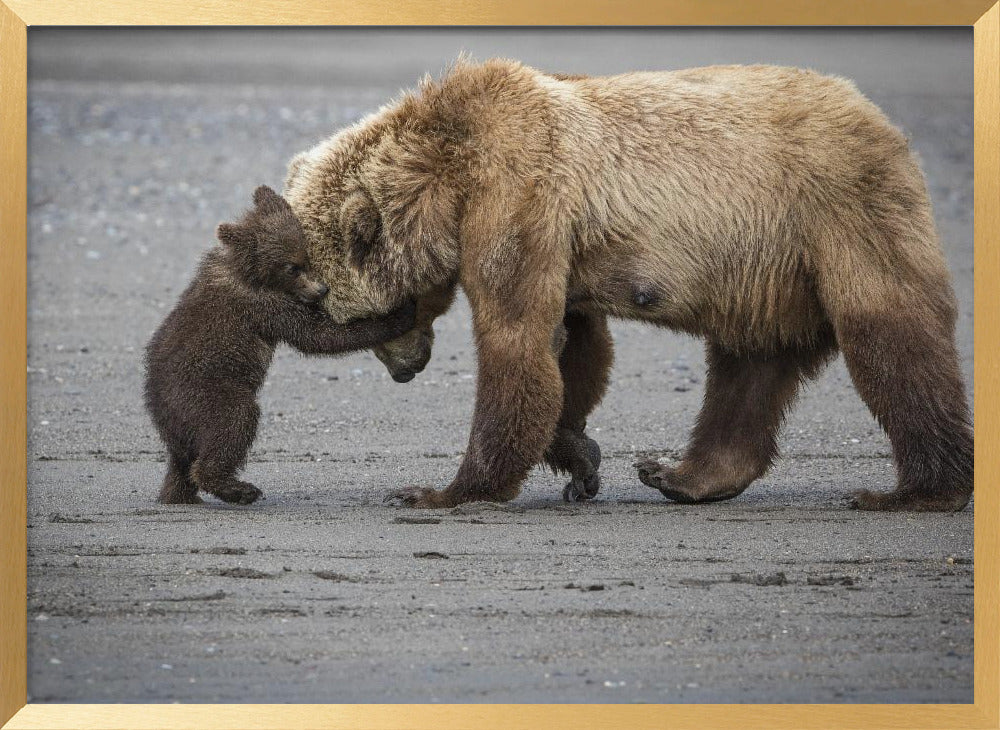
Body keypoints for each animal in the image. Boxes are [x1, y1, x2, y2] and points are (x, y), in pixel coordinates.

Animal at [144, 185, 416, 505]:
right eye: (291, 267)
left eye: (306, 257)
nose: (321, 289)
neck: (249, 272)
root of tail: (160, 412)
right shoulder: (264, 306)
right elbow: (317, 336)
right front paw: (400, 314)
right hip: (206, 392)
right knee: (234, 422)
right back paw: (239, 488)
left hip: (182, 423)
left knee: (181, 464)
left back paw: (179, 495)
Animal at [283, 58, 973, 512]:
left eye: (355, 317)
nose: (406, 370)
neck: (446, 175)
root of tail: (882, 121)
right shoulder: (557, 237)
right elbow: (573, 346)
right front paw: (579, 458)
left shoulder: (517, 195)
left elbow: (517, 341)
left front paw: (442, 490)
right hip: (765, 271)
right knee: (749, 365)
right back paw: (682, 475)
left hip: (838, 212)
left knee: (891, 337)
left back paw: (918, 490)